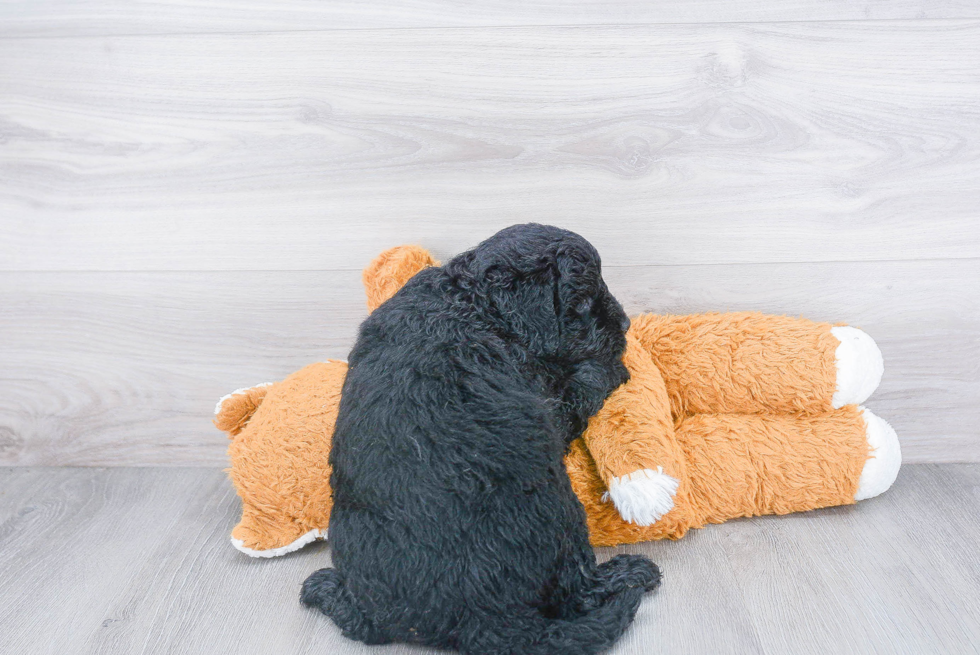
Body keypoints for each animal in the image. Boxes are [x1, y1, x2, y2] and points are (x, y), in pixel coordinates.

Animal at [302, 226, 664, 655]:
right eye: (583, 301)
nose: (624, 323)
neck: (473, 300)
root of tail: (478, 620)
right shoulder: (548, 401)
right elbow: (582, 385)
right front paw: (609, 366)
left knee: (365, 627)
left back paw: (327, 589)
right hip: (563, 514)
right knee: (577, 590)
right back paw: (630, 573)